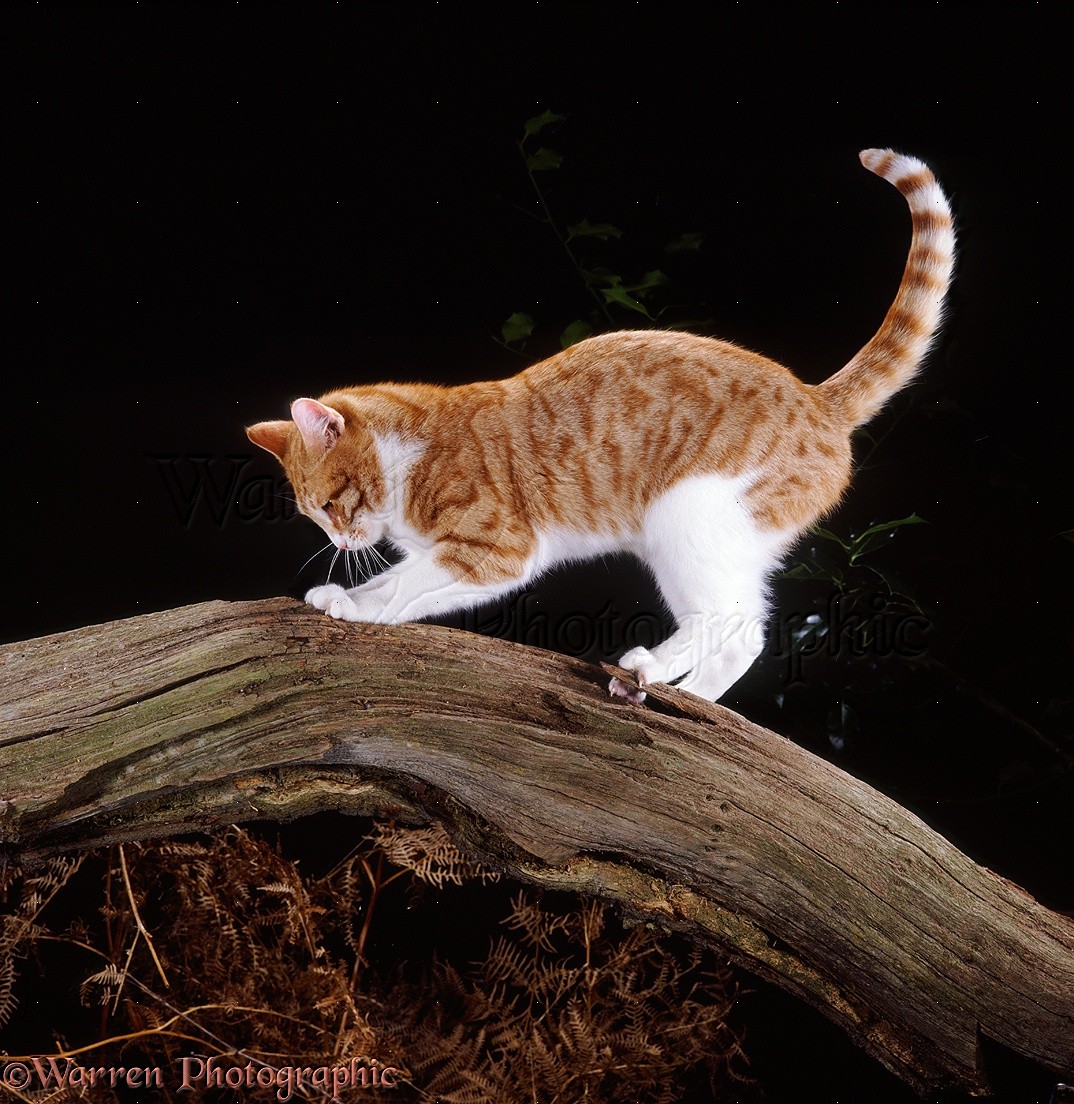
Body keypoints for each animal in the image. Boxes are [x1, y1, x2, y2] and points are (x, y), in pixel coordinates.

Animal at [249, 151, 953, 702]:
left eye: (330, 506)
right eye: (315, 516)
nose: (338, 543)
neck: (405, 458)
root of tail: (818, 398)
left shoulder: (498, 547)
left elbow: (402, 586)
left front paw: (356, 606)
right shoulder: (470, 562)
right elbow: (412, 590)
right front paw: (357, 602)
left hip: (688, 519)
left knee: (730, 621)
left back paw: (650, 670)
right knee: (746, 632)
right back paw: (691, 693)